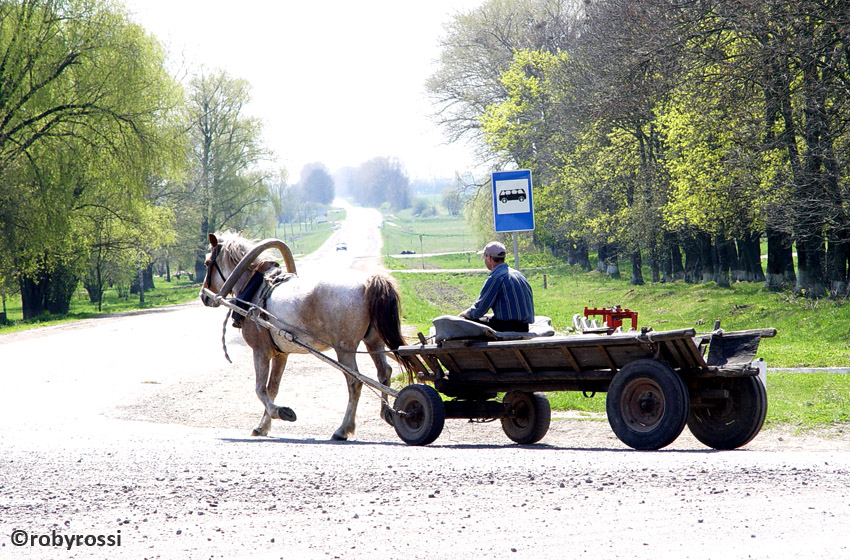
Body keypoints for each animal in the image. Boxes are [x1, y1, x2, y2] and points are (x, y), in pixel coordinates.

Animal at [200, 230, 410, 440]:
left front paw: (280, 412)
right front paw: (263, 426)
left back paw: (343, 429)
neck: (256, 289)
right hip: (373, 342)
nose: (204, 296)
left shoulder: (260, 351)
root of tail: (367, 283)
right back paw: (387, 412)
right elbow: (272, 388)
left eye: (207, 262)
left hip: (345, 349)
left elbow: (260, 389)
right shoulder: (281, 354)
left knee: (354, 381)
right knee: (384, 372)